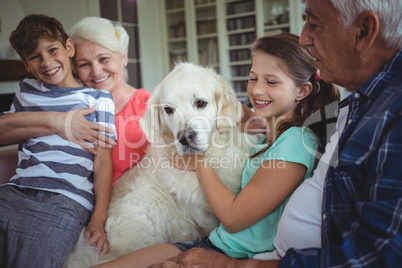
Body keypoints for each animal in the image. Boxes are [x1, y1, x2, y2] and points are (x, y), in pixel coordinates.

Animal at [64, 62, 256, 266]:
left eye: (201, 103)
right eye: (168, 110)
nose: (185, 137)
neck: (209, 160)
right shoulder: (200, 213)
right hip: (148, 204)